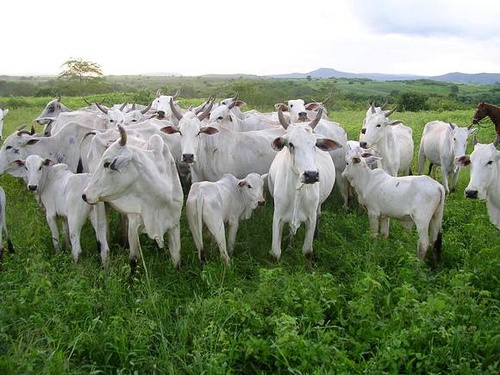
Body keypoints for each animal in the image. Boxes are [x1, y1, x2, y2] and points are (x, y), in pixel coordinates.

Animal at [82, 126, 184, 274]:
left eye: (107, 164)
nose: (84, 195)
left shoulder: (174, 224)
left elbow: (176, 259)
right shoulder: (134, 226)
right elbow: (134, 260)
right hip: (98, 203)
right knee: (102, 241)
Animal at [268, 108, 338, 264]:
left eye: (314, 145)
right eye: (291, 144)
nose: (311, 175)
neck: (296, 190)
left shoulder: (310, 218)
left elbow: (307, 252)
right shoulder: (277, 216)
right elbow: (275, 253)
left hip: (318, 206)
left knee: (319, 215)